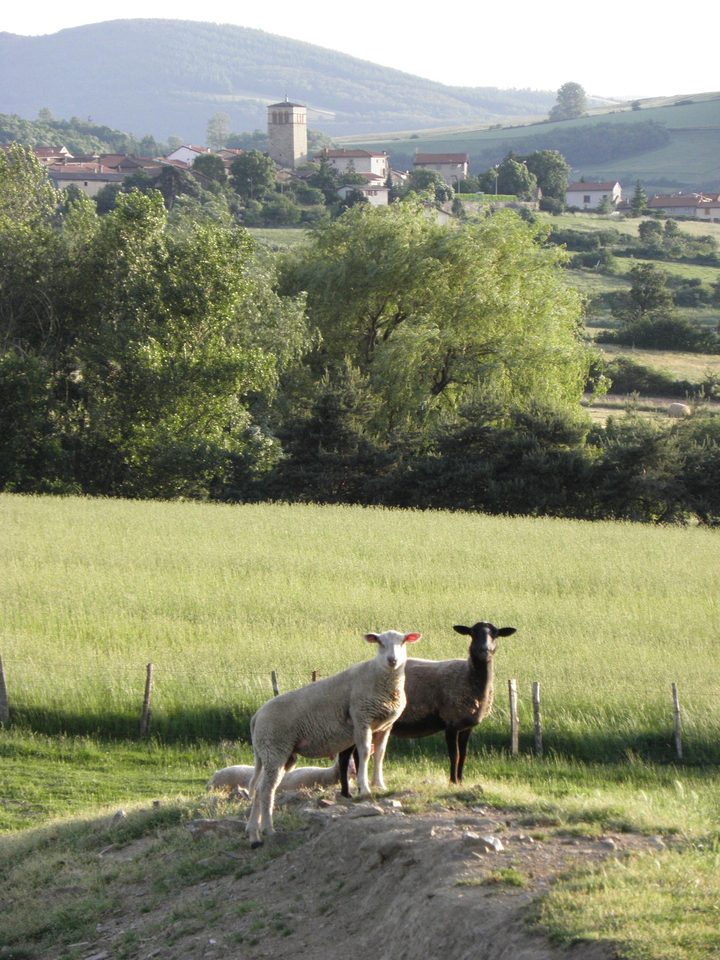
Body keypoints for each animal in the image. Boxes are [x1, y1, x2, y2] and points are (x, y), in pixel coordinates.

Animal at [245, 629, 421, 847]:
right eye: (379, 642)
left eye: (403, 641)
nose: (392, 660)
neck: (379, 678)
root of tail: (257, 716)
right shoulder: (361, 718)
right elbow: (364, 753)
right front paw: (364, 788)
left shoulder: (385, 726)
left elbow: (380, 754)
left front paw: (380, 785)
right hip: (274, 748)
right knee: (265, 789)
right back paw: (266, 830)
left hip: (278, 753)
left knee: (261, 788)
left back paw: (255, 832)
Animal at [338, 621, 516, 795]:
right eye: (472, 633)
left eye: (495, 634)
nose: (484, 650)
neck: (468, 676)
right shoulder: (451, 722)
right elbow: (455, 755)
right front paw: (452, 782)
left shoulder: (466, 726)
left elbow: (464, 754)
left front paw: (461, 781)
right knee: (348, 755)